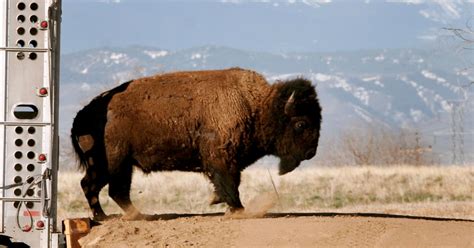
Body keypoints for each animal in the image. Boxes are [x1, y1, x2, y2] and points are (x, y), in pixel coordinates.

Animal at [70, 68, 322, 221]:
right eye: (301, 123)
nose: (311, 152)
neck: (256, 106)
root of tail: (83, 115)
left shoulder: (228, 162)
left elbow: (229, 184)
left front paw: (219, 202)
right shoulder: (221, 160)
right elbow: (230, 184)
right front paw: (237, 210)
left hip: (108, 165)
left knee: (91, 185)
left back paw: (105, 216)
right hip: (117, 163)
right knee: (113, 189)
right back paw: (134, 216)